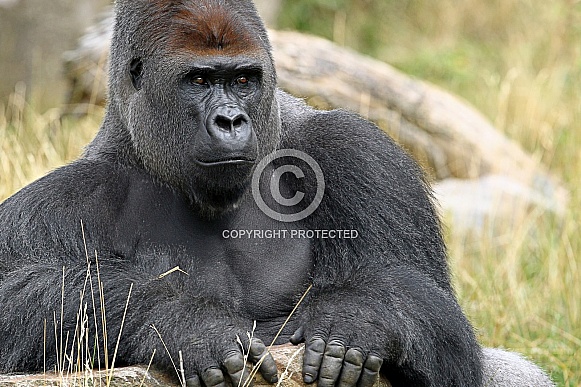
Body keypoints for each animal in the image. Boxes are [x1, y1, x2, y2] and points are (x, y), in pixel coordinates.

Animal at [0, 0, 552, 387]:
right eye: (198, 80)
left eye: (243, 79)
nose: (230, 120)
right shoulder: (63, 199)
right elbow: (14, 302)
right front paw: (185, 323)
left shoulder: (359, 153)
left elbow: (444, 324)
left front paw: (359, 318)